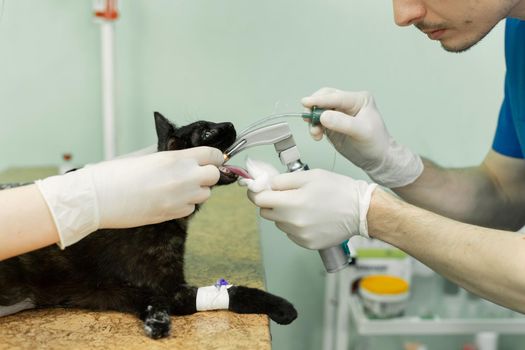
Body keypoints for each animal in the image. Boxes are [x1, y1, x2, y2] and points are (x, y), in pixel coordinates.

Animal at [0, 113, 294, 340]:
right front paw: (281, 306)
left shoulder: (135, 293)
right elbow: (236, 290)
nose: (231, 123)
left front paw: (157, 322)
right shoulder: (171, 291)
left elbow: (154, 305)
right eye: (208, 131)